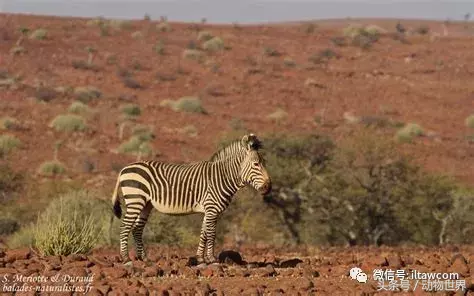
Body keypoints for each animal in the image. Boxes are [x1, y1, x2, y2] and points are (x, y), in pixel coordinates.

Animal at [111, 133, 272, 264]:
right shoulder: (212, 209)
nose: (268, 187)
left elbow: (204, 233)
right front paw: (212, 259)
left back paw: (144, 258)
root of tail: (124, 169)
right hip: (135, 200)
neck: (222, 177)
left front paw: (201, 258)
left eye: (264, 163)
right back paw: (126, 258)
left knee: (137, 229)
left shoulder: (208, 210)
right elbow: (211, 234)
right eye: (256, 164)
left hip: (146, 204)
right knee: (125, 226)